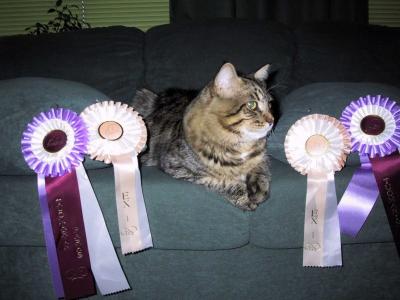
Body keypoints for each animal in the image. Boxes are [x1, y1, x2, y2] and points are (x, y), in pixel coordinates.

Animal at [134, 62, 276, 210]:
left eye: (270, 104)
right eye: (251, 105)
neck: (240, 143)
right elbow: (222, 181)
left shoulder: (262, 158)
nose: (272, 120)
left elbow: (261, 170)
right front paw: (244, 197)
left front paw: (258, 189)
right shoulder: (179, 168)